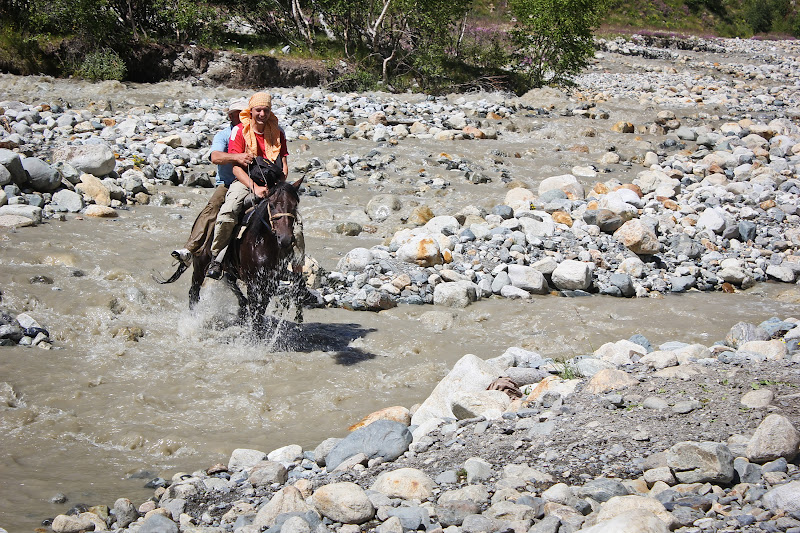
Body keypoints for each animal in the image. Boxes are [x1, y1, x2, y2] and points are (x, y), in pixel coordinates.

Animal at [156, 177, 306, 326]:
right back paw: (193, 321)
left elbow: (297, 282)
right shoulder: (254, 283)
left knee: (229, 281)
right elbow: (256, 315)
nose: (285, 239)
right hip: (200, 266)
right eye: (272, 205)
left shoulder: (272, 279)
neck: (263, 242)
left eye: (294, 205)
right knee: (194, 292)